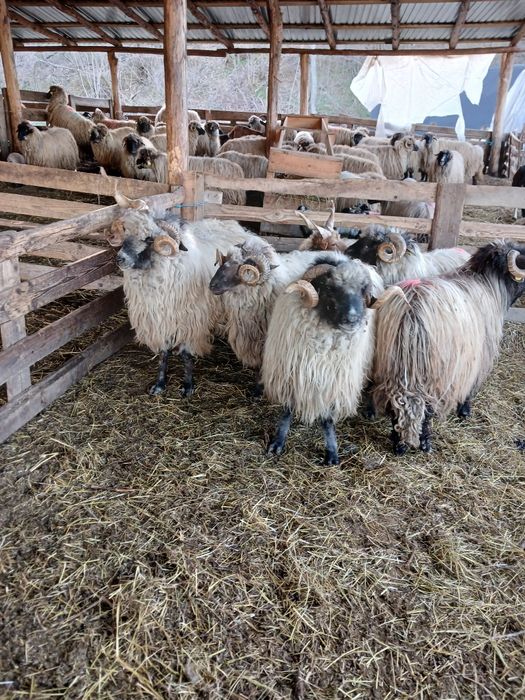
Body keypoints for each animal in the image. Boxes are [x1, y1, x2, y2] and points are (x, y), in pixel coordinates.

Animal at [112, 191, 251, 396]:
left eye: (149, 239)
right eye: (126, 232)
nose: (120, 259)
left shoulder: (190, 319)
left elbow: (186, 355)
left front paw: (188, 385)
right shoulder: (160, 320)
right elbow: (164, 353)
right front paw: (159, 384)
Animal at [261, 256, 383, 465]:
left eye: (364, 289)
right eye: (330, 288)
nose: (353, 318)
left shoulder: (332, 382)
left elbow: (327, 419)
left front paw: (332, 452)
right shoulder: (290, 374)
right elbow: (286, 411)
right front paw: (278, 442)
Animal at [372, 240, 525, 454]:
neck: (489, 283)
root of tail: (411, 308)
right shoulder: (478, 355)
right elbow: (471, 386)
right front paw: (464, 411)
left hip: (392, 364)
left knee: (396, 403)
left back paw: (399, 445)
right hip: (434, 371)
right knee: (426, 406)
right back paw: (425, 443)